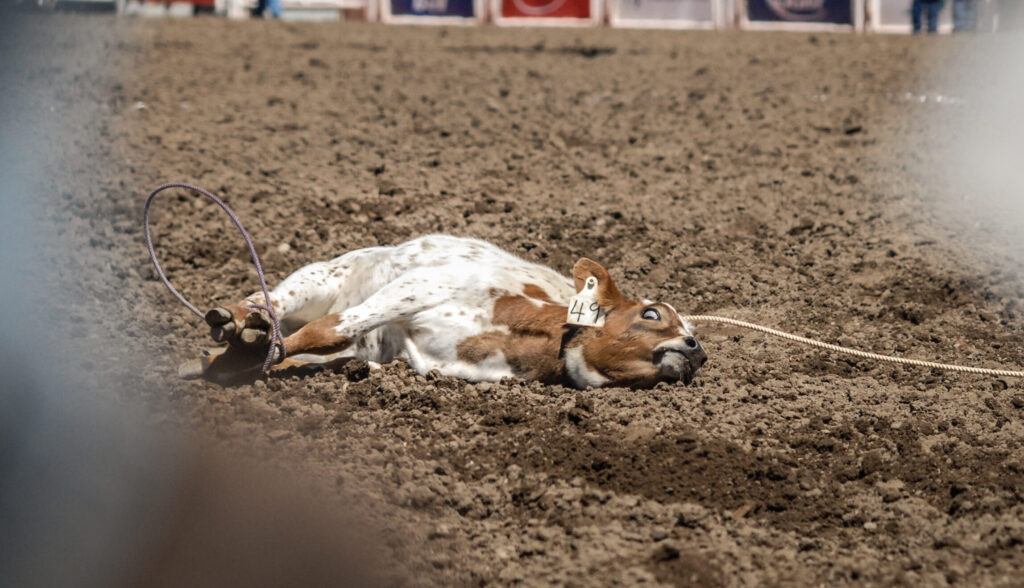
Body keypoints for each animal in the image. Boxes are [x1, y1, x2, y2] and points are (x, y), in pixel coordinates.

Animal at [184, 234, 706, 388]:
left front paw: (231, 363)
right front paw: (245, 355)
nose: (697, 349)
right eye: (653, 314)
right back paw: (238, 321)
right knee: (268, 302)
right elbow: (328, 330)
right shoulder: (416, 288)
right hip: (317, 278)